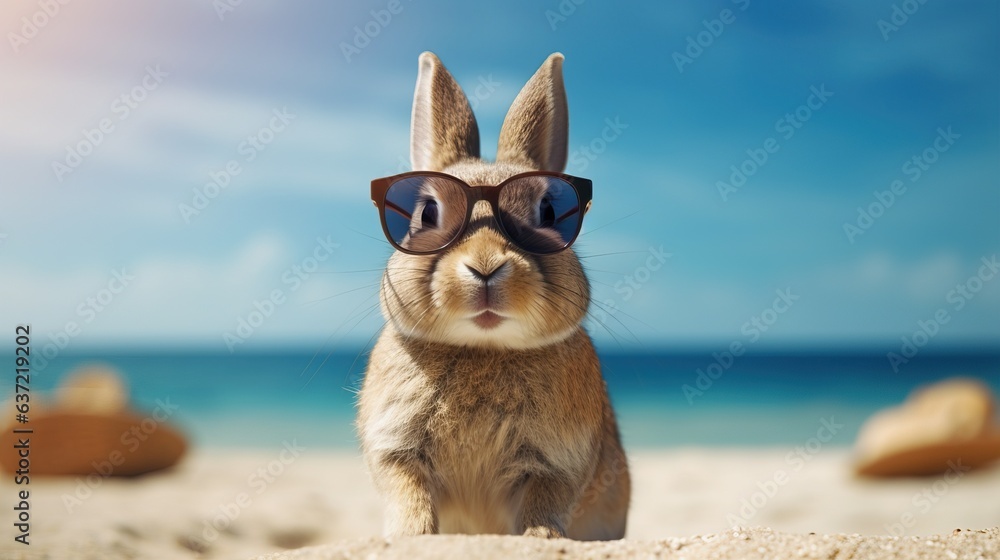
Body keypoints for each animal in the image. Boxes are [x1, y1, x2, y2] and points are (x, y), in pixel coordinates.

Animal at [357, 51, 630, 541]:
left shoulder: (557, 463)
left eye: (549, 213)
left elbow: (544, 502)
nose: (485, 267)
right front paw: (410, 537)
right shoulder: (396, 449)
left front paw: (543, 540)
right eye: (427, 214)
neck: (483, 347)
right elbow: (409, 492)